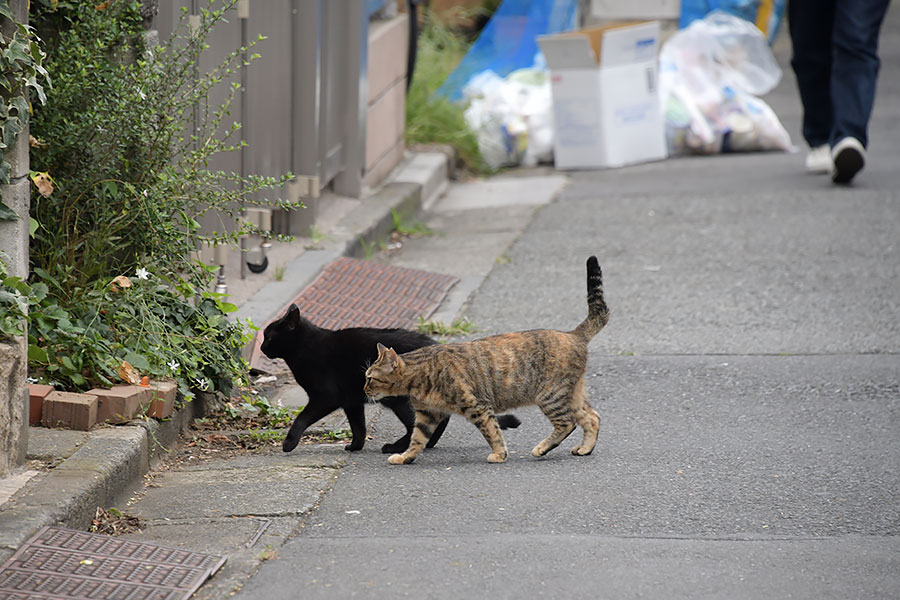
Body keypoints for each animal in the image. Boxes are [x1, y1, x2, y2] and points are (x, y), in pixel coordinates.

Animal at [258, 302, 520, 452]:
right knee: (437, 419)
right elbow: (358, 426)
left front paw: (289, 443)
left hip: (398, 399)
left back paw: (398, 446)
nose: (261, 348)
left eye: (269, 337)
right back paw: (426, 443)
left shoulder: (326, 397)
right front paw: (355, 446)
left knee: (420, 422)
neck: (305, 348)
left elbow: (302, 418)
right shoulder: (352, 401)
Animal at [362, 255, 608, 466]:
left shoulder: (477, 406)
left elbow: (492, 432)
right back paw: (585, 448)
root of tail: (573, 334)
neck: (420, 377)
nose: (364, 389)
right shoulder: (427, 415)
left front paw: (499, 454)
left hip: (551, 396)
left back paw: (542, 448)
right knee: (592, 417)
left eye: (370, 378)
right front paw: (405, 457)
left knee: (568, 423)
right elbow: (417, 440)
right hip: (570, 395)